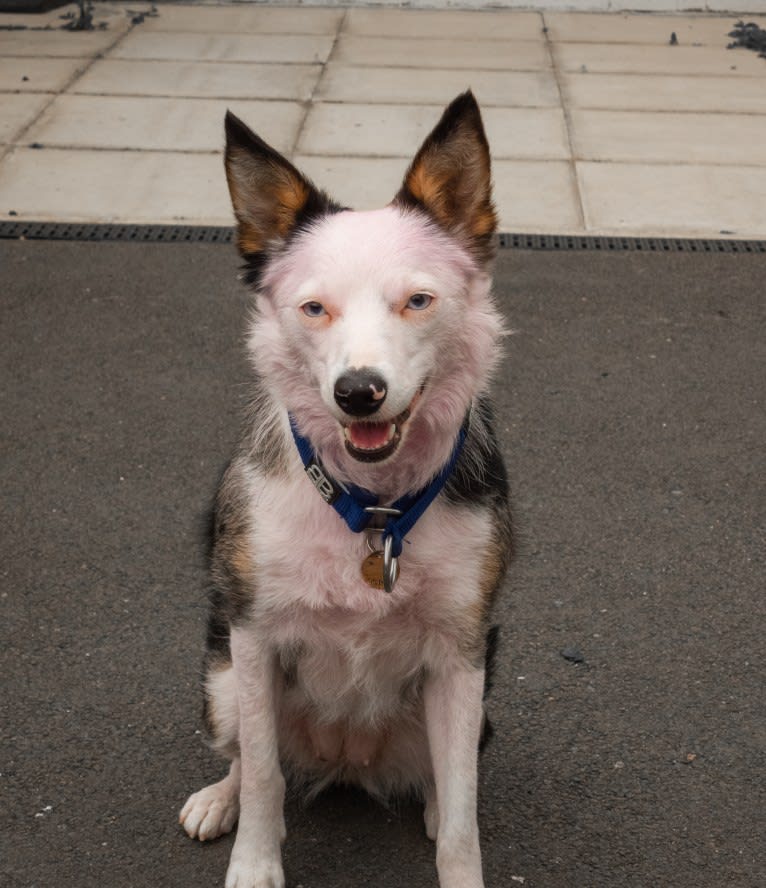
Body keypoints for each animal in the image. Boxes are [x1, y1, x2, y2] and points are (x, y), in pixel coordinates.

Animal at [179, 92, 512, 888]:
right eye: (314, 308)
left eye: (418, 301)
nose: (359, 393)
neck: (372, 505)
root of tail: (348, 760)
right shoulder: (254, 637)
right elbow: (265, 777)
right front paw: (254, 864)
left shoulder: (462, 656)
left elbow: (464, 812)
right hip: (220, 679)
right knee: (246, 758)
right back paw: (219, 798)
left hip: (479, 703)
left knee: (443, 778)